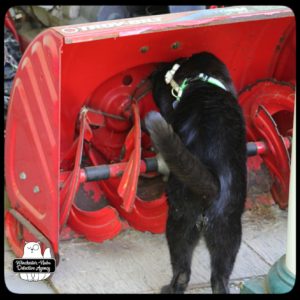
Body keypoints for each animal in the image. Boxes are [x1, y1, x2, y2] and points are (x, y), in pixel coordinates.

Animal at [145, 51, 246, 292]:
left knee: (182, 270)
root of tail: (213, 181)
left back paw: (169, 288)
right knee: (219, 278)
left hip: (180, 220)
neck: (204, 81)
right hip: (228, 231)